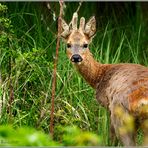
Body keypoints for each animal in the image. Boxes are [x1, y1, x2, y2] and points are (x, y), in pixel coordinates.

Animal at [60, 12, 148, 146]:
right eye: (68, 44)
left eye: (85, 44)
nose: (76, 57)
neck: (99, 76)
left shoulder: (109, 106)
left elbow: (111, 139)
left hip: (121, 115)